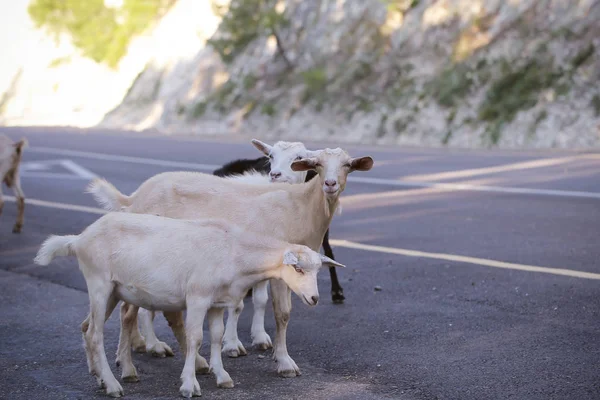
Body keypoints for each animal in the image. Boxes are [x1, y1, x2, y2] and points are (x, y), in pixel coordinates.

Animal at [34, 212, 342, 396]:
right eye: (298, 269)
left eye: (318, 271)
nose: (314, 299)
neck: (235, 252)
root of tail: (78, 239)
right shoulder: (197, 297)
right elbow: (195, 339)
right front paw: (189, 384)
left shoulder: (217, 302)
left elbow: (216, 337)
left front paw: (222, 376)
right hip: (99, 284)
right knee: (96, 334)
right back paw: (111, 385)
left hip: (113, 291)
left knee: (86, 328)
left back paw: (98, 376)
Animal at [86, 145, 372, 376]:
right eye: (318, 165)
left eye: (347, 165)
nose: (330, 184)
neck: (300, 205)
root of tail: (133, 198)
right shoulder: (283, 267)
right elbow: (282, 313)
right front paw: (284, 362)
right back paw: (147, 348)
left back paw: (136, 348)